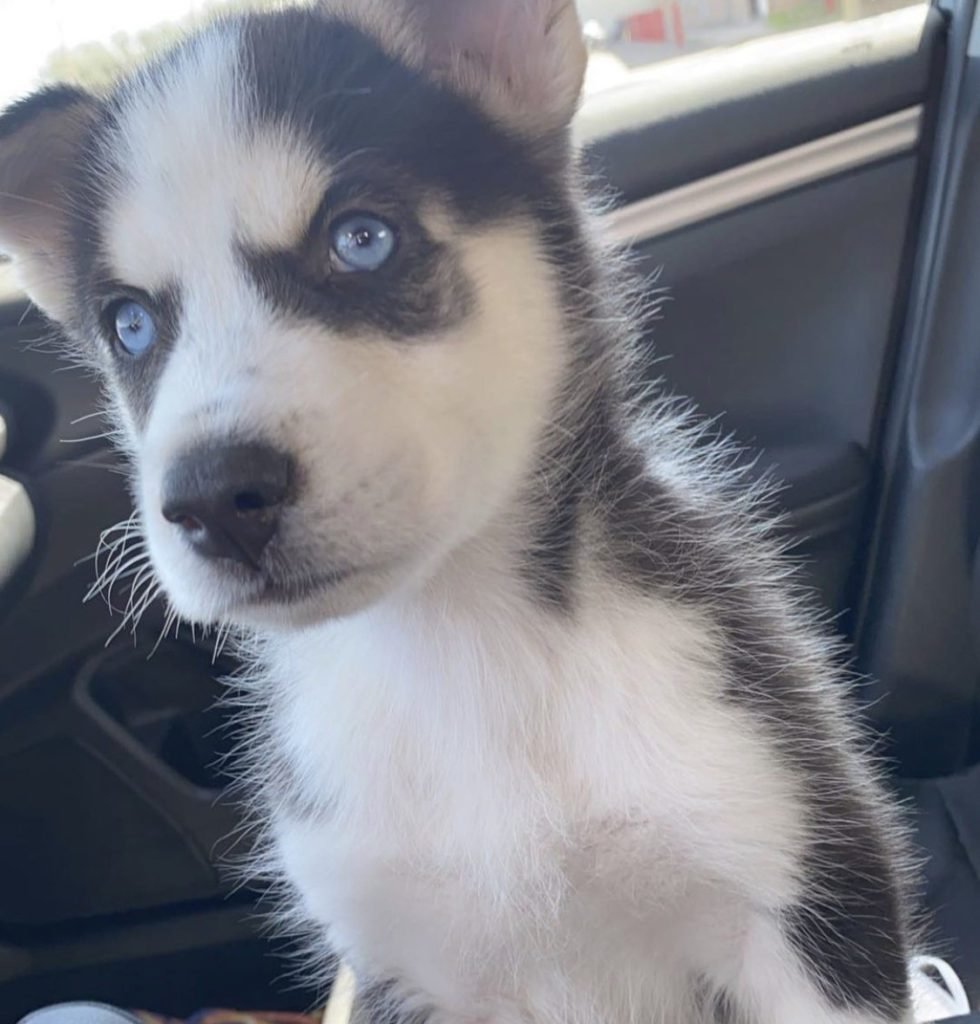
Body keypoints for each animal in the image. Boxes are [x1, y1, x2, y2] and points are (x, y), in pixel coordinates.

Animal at [1, 2, 917, 1024]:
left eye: (362, 239)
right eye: (130, 325)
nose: (211, 500)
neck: (460, 649)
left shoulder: (804, 900)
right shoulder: (400, 965)